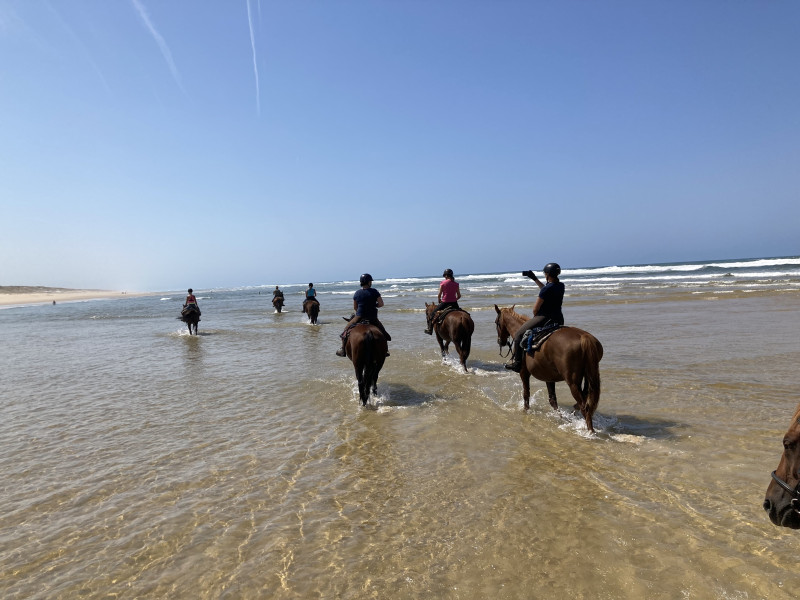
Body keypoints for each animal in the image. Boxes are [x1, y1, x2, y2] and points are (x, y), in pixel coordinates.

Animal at [490, 304, 604, 432]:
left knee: (585, 407)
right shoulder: (549, 378)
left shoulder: (524, 372)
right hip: (587, 376)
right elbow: (553, 400)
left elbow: (526, 394)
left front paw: (526, 411)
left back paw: (590, 432)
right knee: (585, 401)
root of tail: (585, 337)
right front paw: (561, 417)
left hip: (573, 382)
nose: (500, 341)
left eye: (496, 322)